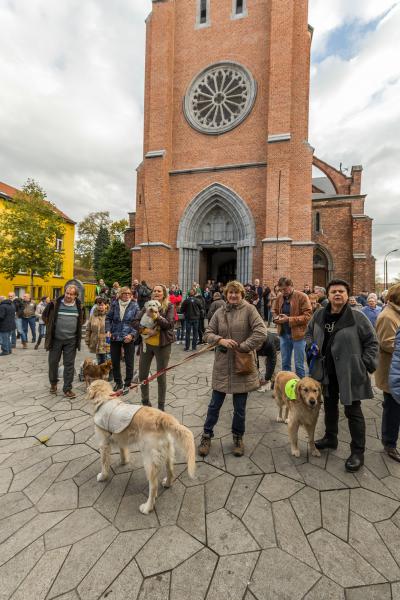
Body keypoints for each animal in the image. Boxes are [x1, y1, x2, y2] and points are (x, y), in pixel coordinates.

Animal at [86, 382, 196, 512]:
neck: (105, 399)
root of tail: (161, 416)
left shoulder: (103, 444)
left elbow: (103, 463)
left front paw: (102, 476)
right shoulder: (120, 437)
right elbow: (123, 451)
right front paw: (123, 462)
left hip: (149, 460)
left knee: (153, 486)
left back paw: (147, 507)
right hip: (168, 452)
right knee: (171, 471)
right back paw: (167, 484)